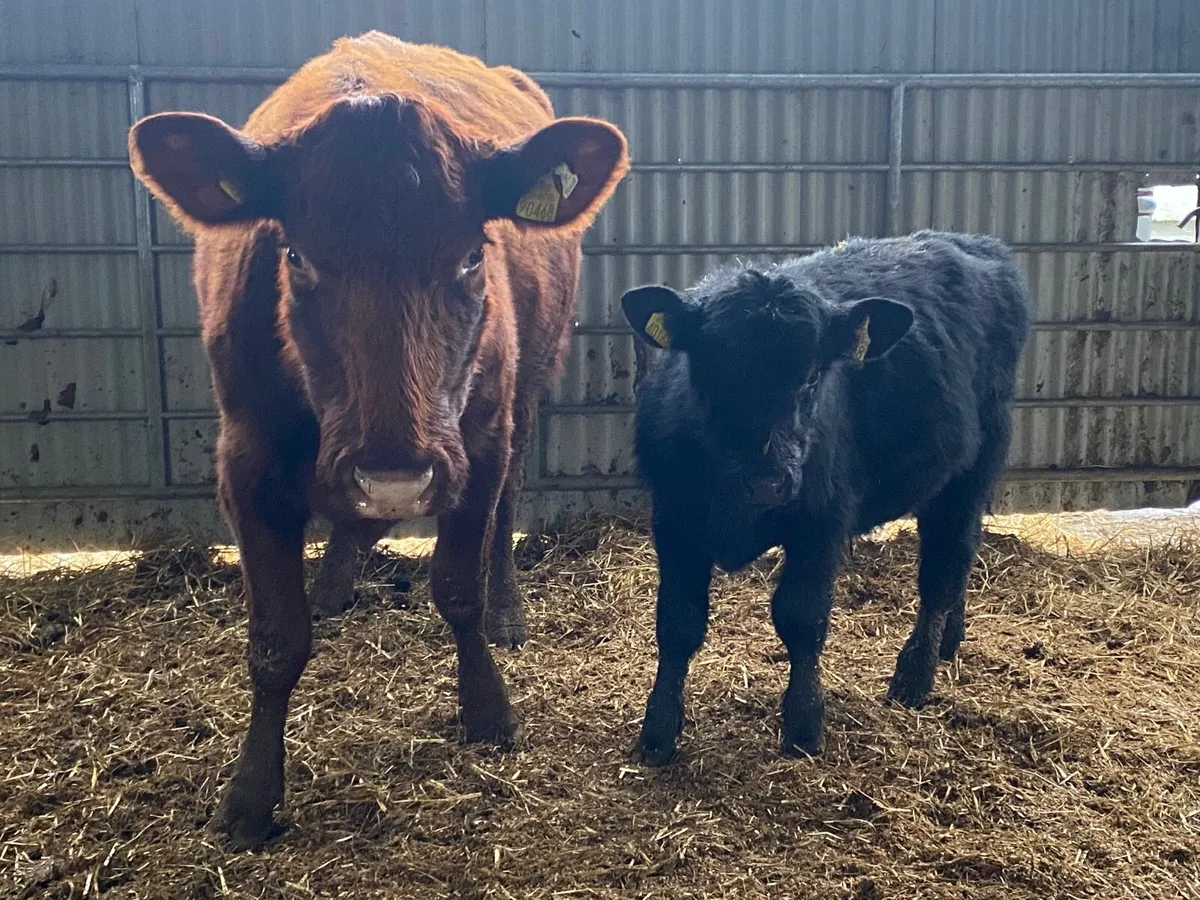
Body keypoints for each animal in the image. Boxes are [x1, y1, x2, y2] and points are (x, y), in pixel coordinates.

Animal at [127, 32, 628, 847]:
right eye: (297, 256)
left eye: (471, 255)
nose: (396, 473)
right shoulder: (246, 461)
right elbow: (276, 640)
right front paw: (251, 795)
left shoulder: (474, 442)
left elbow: (456, 587)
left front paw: (489, 709)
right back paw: (334, 584)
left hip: (526, 385)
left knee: (509, 501)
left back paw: (505, 609)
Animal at [620, 231, 1031, 765]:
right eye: (708, 373)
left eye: (814, 376)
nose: (767, 479)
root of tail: (974, 242)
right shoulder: (673, 520)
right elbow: (677, 623)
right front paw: (658, 731)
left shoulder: (822, 523)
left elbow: (801, 617)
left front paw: (803, 724)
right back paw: (949, 640)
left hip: (977, 462)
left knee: (945, 567)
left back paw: (915, 674)